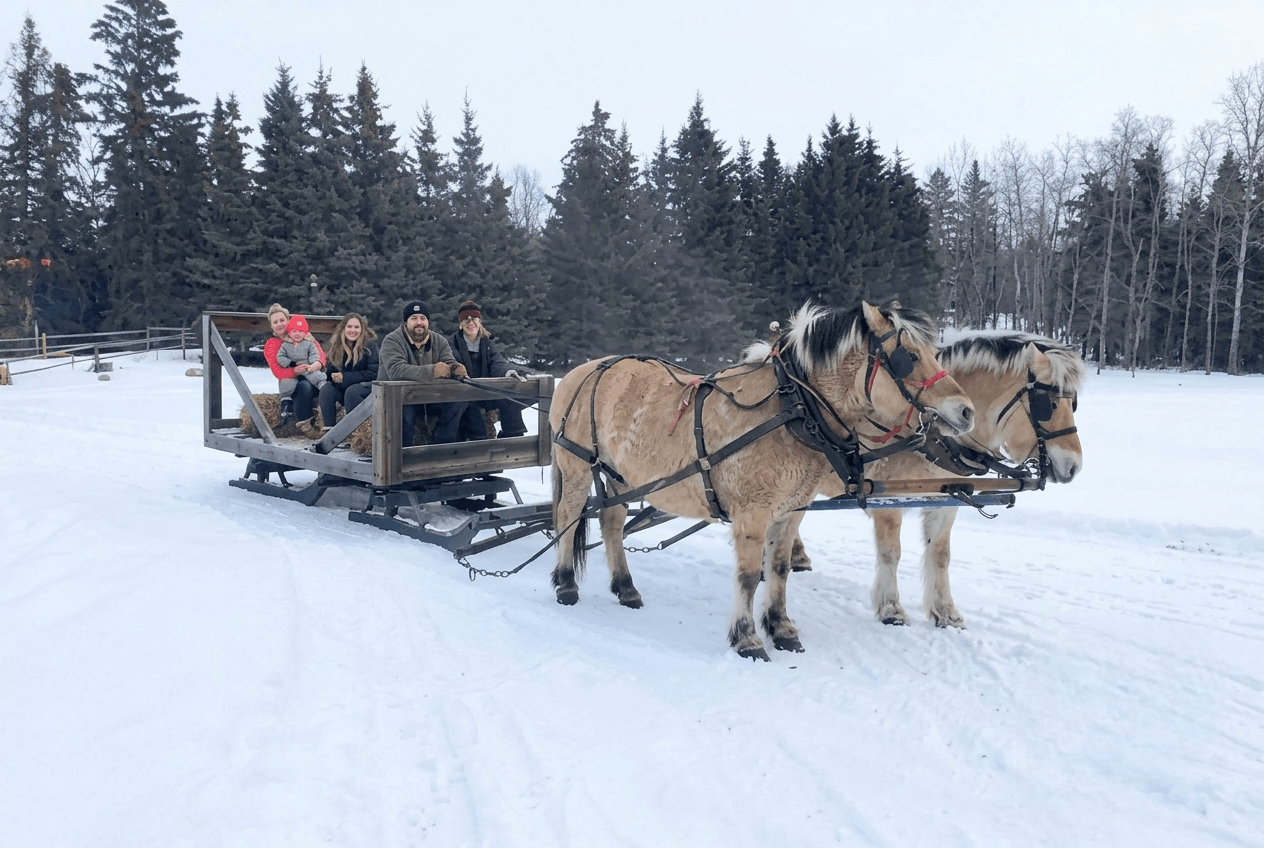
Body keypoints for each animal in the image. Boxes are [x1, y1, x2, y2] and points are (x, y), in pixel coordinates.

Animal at [548, 301, 976, 660]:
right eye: (909, 358)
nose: (967, 411)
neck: (794, 410)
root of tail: (580, 370)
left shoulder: (791, 509)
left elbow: (780, 568)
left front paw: (781, 628)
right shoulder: (751, 513)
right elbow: (749, 574)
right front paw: (747, 638)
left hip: (621, 476)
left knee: (611, 521)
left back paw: (626, 588)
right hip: (576, 466)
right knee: (567, 518)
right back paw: (566, 584)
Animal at [777, 332, 1085, 628]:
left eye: (1073, 404)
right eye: (1049, 404)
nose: (1074, 466)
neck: (934, 438)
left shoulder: (946, 501)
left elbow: (940, 555)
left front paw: (946, 613)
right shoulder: (887, 501)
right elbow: (891, 553)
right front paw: (891, 609)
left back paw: (797, 556)